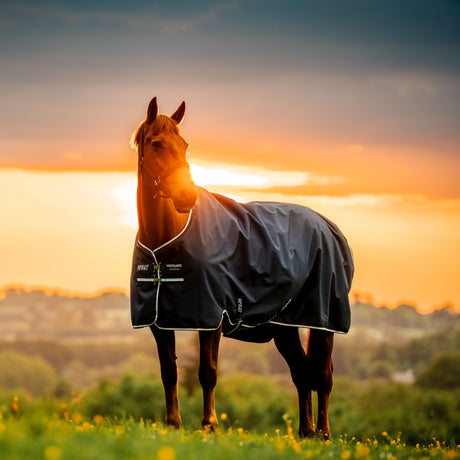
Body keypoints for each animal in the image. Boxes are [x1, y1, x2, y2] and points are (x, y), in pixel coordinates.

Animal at [127, 97, 354, 438]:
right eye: (156, 143)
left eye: (185, 145)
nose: (187, 196)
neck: (165, 241)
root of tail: (327, 226)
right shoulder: (159, 322)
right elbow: (169, 372)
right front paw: (173, 424)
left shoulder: (212, 318)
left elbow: (207, 372)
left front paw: (209, 424)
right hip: (284, 326)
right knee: (301, 373)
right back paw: (306, 433)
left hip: (323, 321)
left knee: (323, 376)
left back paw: (324, 434)